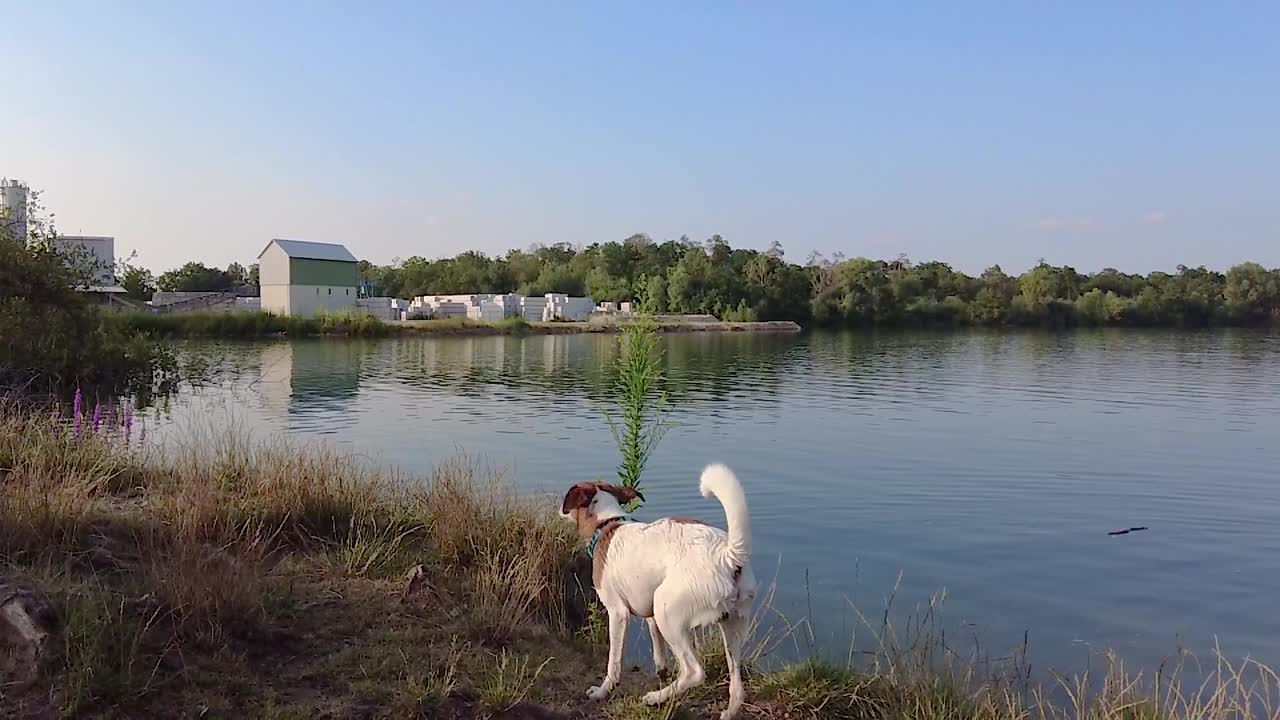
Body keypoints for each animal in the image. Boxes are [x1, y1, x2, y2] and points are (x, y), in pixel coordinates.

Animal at [563, 461, 757, 712]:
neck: (607, 524)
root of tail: (727, 555)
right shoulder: (650, 616)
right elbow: (658, 651)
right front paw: (661, 672)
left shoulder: (618, 613)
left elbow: (613, 663)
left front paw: (603, 691)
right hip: (731, 628)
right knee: (737, 687)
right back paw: (726, 711)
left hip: (667, 612)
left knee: (694, 672)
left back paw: (655, 697)